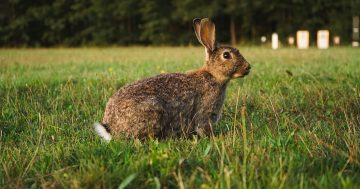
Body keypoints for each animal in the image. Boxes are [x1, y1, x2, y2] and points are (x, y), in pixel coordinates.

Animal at [94, 18, 250, 142]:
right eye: (226, 55)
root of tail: (110, 127)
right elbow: (203, 127)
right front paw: (215, 138)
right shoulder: (204, 114)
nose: (248, 68)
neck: (212, 75)